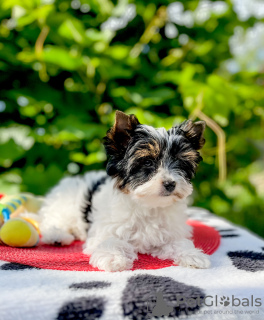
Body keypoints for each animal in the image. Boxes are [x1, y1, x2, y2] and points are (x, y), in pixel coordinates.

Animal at [39, 111, 210, 272]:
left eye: (180, 163)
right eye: (148, 162)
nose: (170, 184)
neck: (148, 205)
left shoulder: (171, 232)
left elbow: (179, 243)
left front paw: (192, 255)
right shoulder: (106, 229)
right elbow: (110, 241)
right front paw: (113, 257)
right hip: (65, 204)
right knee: (53, 220)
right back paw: (57, 235)